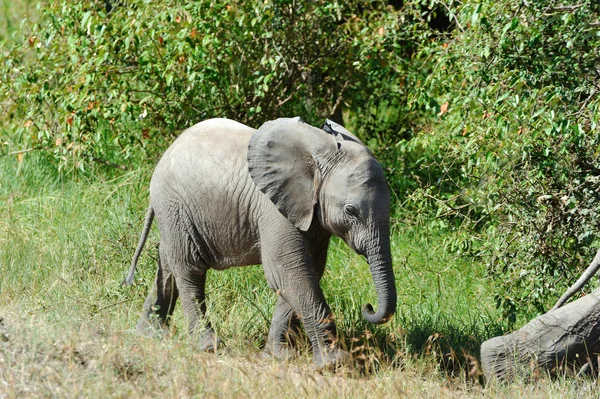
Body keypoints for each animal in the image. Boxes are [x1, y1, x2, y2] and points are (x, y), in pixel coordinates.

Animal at [125, 116, 398, 368]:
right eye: (351, 211)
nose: (368, 306)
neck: (321, 154)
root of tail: (168, 151)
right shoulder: (274, 210)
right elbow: (288, 272)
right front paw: (334, 364)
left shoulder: (312, 216)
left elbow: (303, 274)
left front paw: (279, 356)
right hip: (174, 205)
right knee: (190, 269)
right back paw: (207, 347)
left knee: (168, 264)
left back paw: (150, 335)